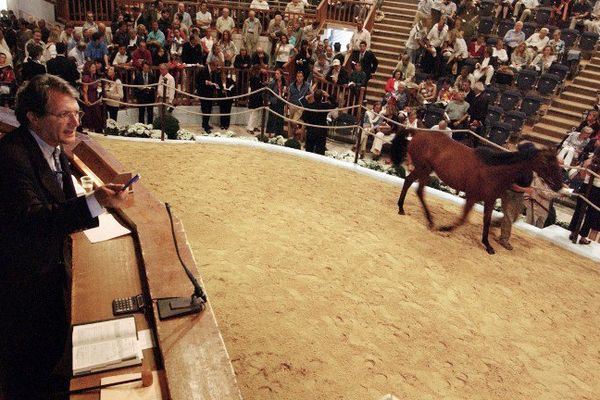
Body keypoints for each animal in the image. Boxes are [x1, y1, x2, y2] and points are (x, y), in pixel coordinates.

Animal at [392, 131, 564, 256]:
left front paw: (488, 245)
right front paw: (445, 228)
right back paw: (429, 221)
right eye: (545, 162)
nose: (559, 185)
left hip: (423, 170)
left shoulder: (490, 200)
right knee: (418, 189)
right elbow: (463, 218)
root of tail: (418, 133)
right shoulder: (472, 196)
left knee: (409, 182)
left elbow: (486, 221)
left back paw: (403, 209)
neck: (494, 170)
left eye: (557, 162)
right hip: (424, 169)